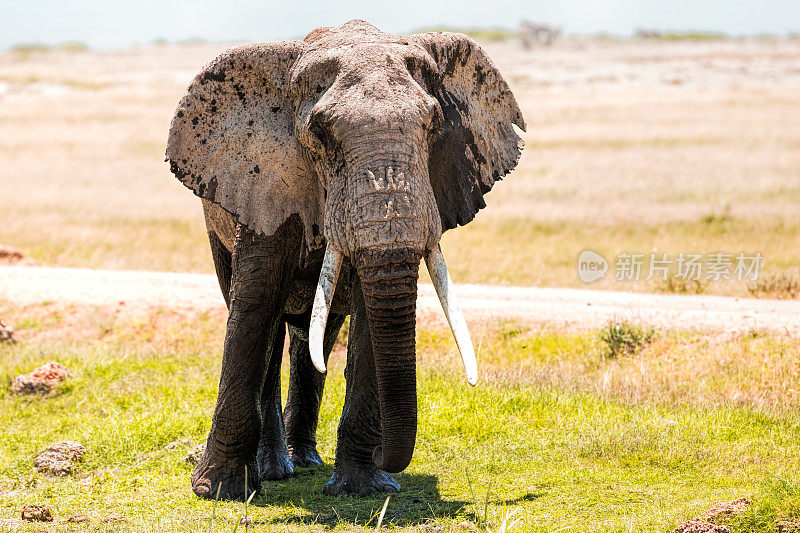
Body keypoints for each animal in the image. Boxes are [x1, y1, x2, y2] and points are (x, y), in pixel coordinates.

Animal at [166, 17, 520, 498]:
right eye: (319, 133)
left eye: (433, 125)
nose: (391, 458)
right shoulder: (265, 183)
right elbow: (255, 305)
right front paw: (218, 490)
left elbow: (370, 318)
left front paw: (364, 488)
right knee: (271, 325)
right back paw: (276, 469)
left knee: (314, 338)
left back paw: (307, 460)